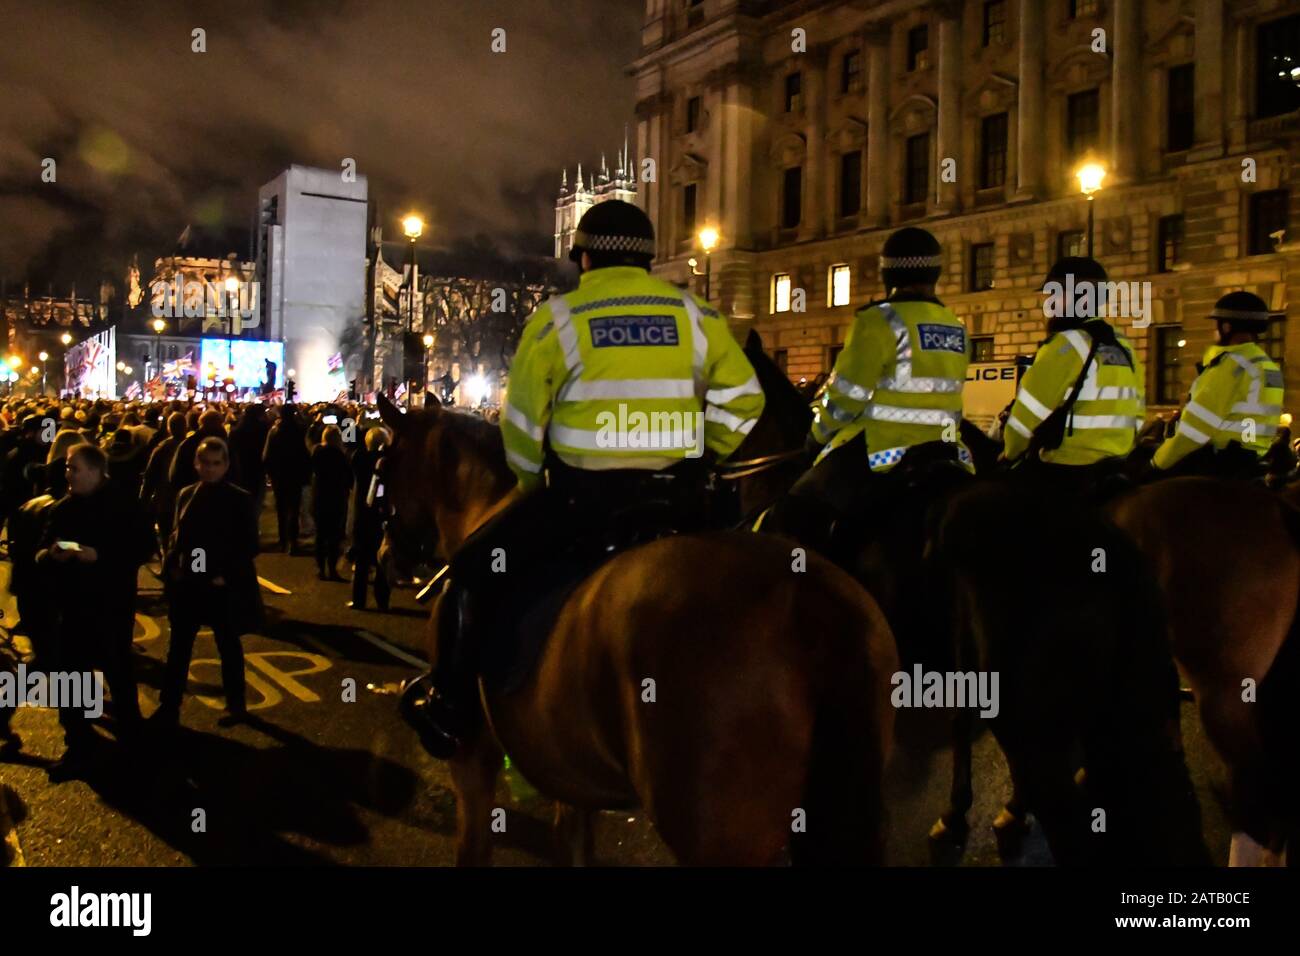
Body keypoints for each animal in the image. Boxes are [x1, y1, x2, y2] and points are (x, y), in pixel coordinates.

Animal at [379, 398, 899, 868]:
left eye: (383, 466)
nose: (391, 555)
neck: (484, 504)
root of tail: (812, 606)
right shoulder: (572, 782)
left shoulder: (472, 761)